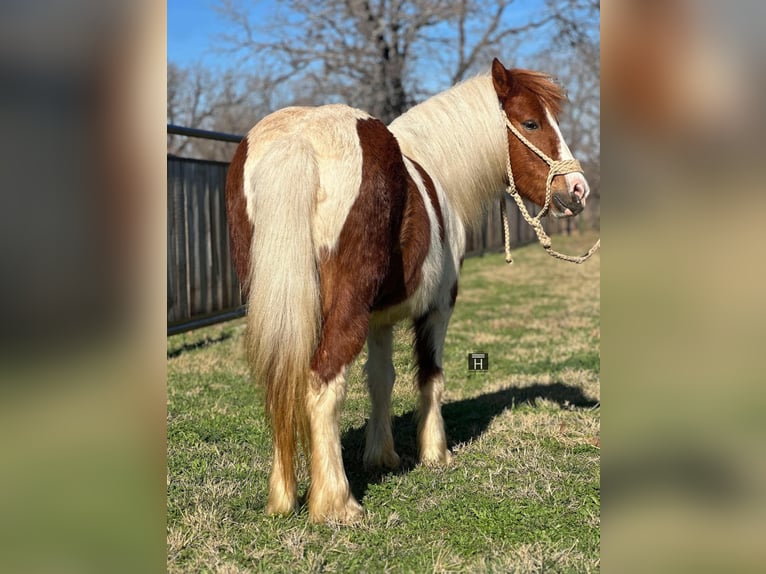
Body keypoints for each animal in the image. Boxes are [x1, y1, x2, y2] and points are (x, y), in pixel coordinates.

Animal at [224, 58, 590, 524]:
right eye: (531, 122)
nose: (577, 189)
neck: (437, 170)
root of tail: (299, 140)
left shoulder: (379, 320)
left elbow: (381, 379)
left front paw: (383, 457)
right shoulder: (438, 308)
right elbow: (430, 375)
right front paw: (435, 453)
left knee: (280, 386)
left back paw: (282, 500)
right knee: (323, 383)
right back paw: (337, 504)